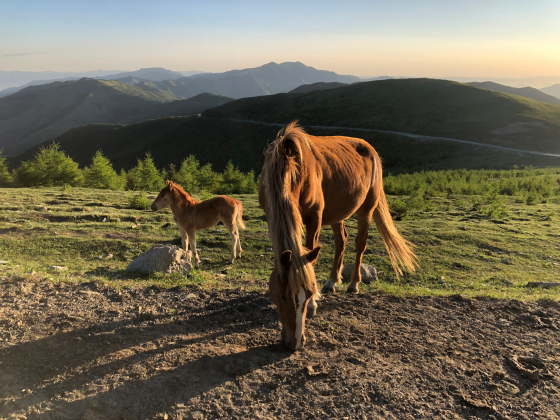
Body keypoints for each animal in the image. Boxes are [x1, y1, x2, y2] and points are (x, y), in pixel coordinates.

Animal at [258, 122, 416, 352]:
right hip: (336, 213)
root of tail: (371, 150)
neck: (289, 166)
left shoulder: (314, 218)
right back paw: (332, 282)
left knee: (360, 244)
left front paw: (314, 304)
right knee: (342, 241)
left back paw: (353, 284)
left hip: (366, 208)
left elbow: (310, 256)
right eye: (283, 296)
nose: (296, 343)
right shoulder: (271, 214)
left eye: (307, 294)